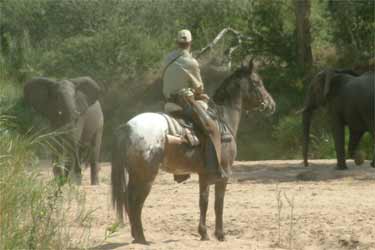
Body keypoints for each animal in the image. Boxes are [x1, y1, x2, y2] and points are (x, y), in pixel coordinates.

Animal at [111, 59, 276, 244]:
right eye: (257, 82)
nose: (271, 104)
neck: (223, 119)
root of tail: (128, 127)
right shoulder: (224, 174)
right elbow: (218, 204)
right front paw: (220, 234)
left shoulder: (203, 175)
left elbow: (203, 201)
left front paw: (203, 233)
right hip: (146, 176)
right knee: (136, 202)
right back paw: (141, 238)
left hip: (135, 174)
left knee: (129, 200)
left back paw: (136, 236)